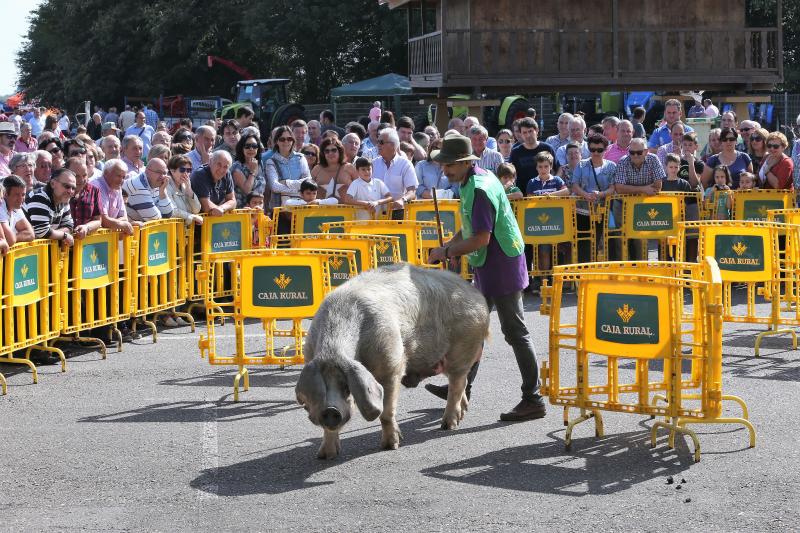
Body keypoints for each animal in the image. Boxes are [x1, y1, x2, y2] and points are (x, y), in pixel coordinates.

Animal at [296, 262, 490, 458]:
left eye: (345, 386)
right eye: (322, 388)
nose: (331, 410)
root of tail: (475, 292)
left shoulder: (391, 365)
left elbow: (386, 412)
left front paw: (391, 446)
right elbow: (328, 429)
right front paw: (325, 456)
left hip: (463, 349)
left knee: (457, 385)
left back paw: (447, 426)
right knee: (460, 385)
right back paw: (461, 415)